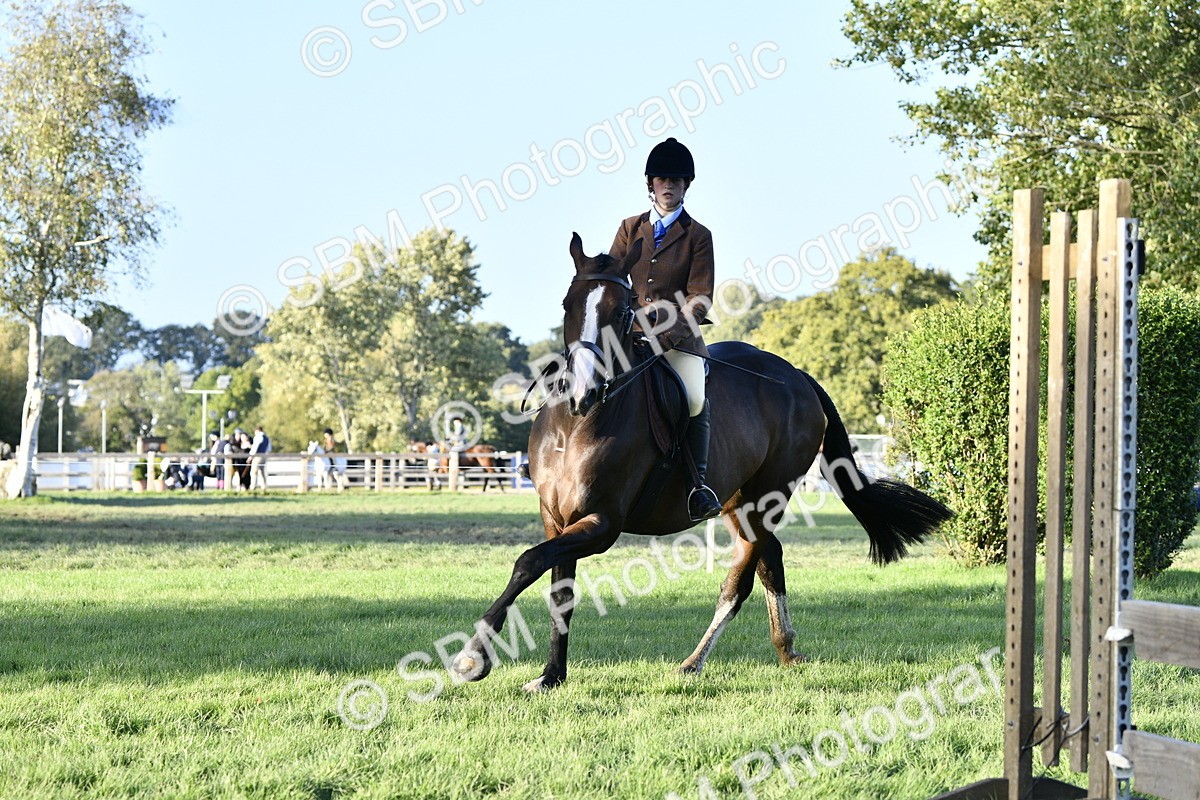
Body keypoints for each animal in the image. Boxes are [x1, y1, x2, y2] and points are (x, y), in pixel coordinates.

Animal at [449, 234, 952, 692]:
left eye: (622, 311)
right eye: (568, 305)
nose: (582, 392)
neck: (579, 424)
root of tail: (796, 375)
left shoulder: (602, 523)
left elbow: (528, 562)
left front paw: (472, 658)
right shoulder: (557, 519)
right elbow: (559, 589)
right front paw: (551, 675)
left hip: (764, 498)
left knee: (745, 573)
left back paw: (695, 661)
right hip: (737, 502)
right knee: (769, 558)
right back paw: (784, 648)